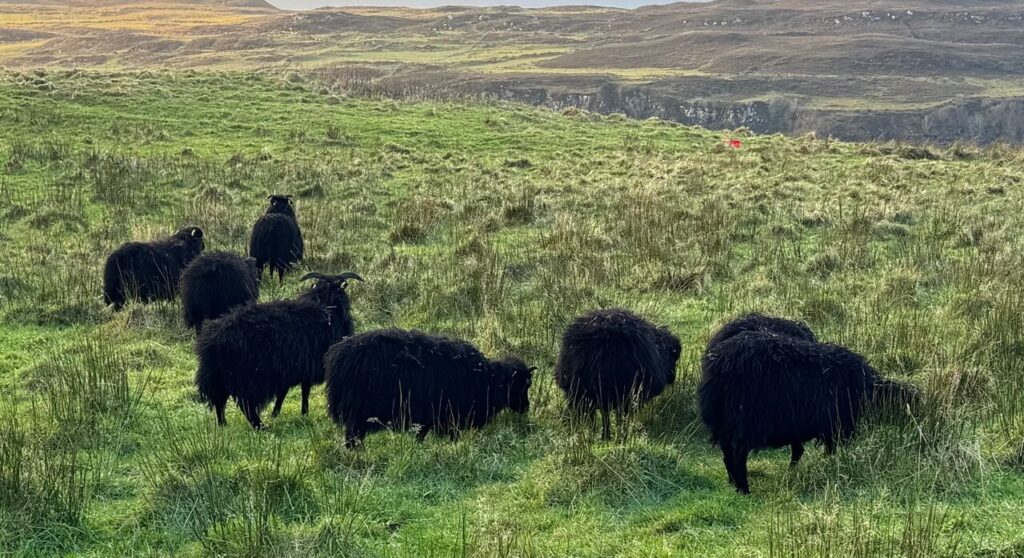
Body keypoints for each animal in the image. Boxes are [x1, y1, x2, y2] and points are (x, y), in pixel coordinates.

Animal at [194, 271, 362, 429]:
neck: (327, 309)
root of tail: (213, 339)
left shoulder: (290, 370)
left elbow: (285, 392)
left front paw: (276, 413)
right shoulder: (304, 366)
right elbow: (303, 390)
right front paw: (303, 412)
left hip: (218, 375)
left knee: (219, 400)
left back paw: (223, 424)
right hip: (248, 376)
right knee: (245, 404)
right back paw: (259, 426)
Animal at [324, 329, 535, 447]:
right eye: (520, 386)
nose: (525, 408)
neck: (485, 380)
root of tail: (339, 356)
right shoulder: (442, 414)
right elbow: (447, 435)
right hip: (358, 410)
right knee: (352, 436)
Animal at [699, 330, 917, 494]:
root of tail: (719, 366)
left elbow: (799, 450)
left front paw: (795, 471)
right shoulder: (837, 427)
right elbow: (828, 451)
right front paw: (829, 466)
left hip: (723, 420)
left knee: (727, 453)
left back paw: (733, 484)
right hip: (747, 419)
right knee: (737, 453)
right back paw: (744, 489)